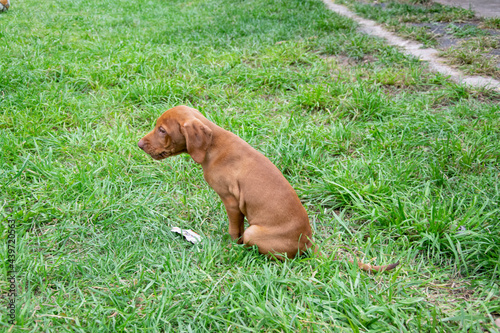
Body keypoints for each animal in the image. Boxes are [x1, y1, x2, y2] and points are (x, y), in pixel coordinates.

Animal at [138, 106, 398, 272]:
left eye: (162, 130)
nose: (139, 144)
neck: (213, 146)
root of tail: (308, 242)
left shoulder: (231, 201)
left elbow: (235, 231)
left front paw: (230, 247)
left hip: (256, 232)